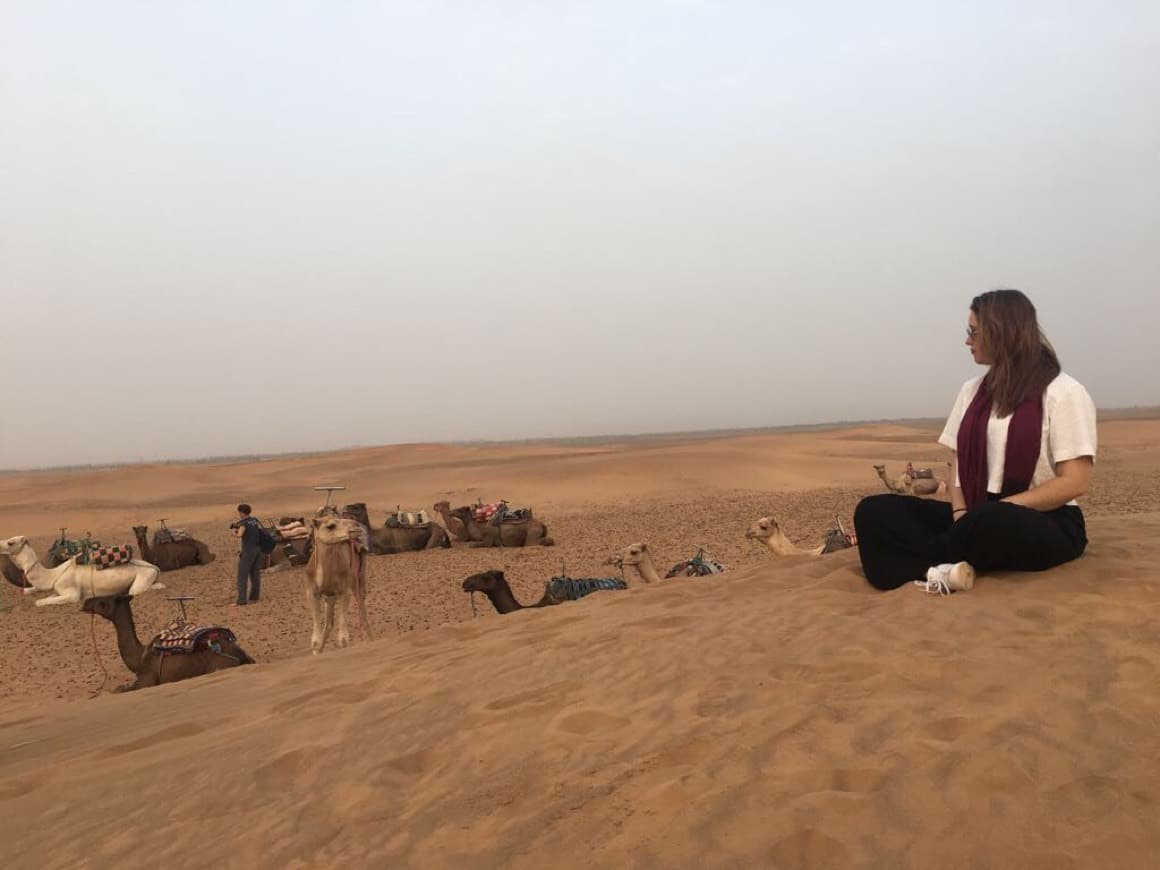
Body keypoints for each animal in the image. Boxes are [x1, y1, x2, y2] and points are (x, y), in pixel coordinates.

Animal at [0, 538, 164, 607]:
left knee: (138, 589)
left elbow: (39, 602)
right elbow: (49, 597)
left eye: (10, 542)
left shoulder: (71, 593)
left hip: (143, 577)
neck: (53, 575)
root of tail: (154, 567)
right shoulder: (58, 590)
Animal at [82, 593, 255, 696]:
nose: (85, 603)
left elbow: (118, 690)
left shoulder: (146, 681)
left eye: (103, 602)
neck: (139, 659)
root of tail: (240, 655)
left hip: (218, 666)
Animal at [303, 517, 371, 654]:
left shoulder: (344, 591)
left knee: (363, 612)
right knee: (328, 624)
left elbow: (343, 639)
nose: (356, 526)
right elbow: (316, 640)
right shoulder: (312, 592)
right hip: (330, 596)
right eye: (330, 526)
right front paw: (317, 651)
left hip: (359, 580)